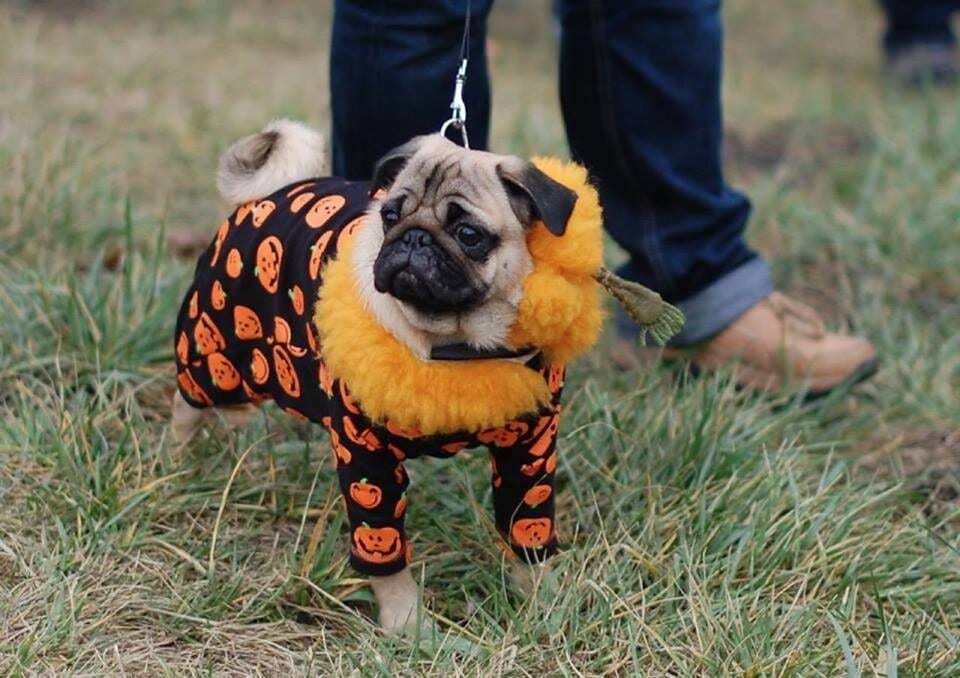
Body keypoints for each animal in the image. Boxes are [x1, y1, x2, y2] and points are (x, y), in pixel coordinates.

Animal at [174, 119, 592, 636]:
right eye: (390, 215)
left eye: (469, 234)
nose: (414, 238)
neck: (454, 345)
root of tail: (271, 193)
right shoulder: (366, 458)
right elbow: (385, 550)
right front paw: (408, 628)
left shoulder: (529, 452)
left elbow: (526, 527)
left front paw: (544, 601)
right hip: (214, 351)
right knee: (186, 403)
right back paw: (176, 460)